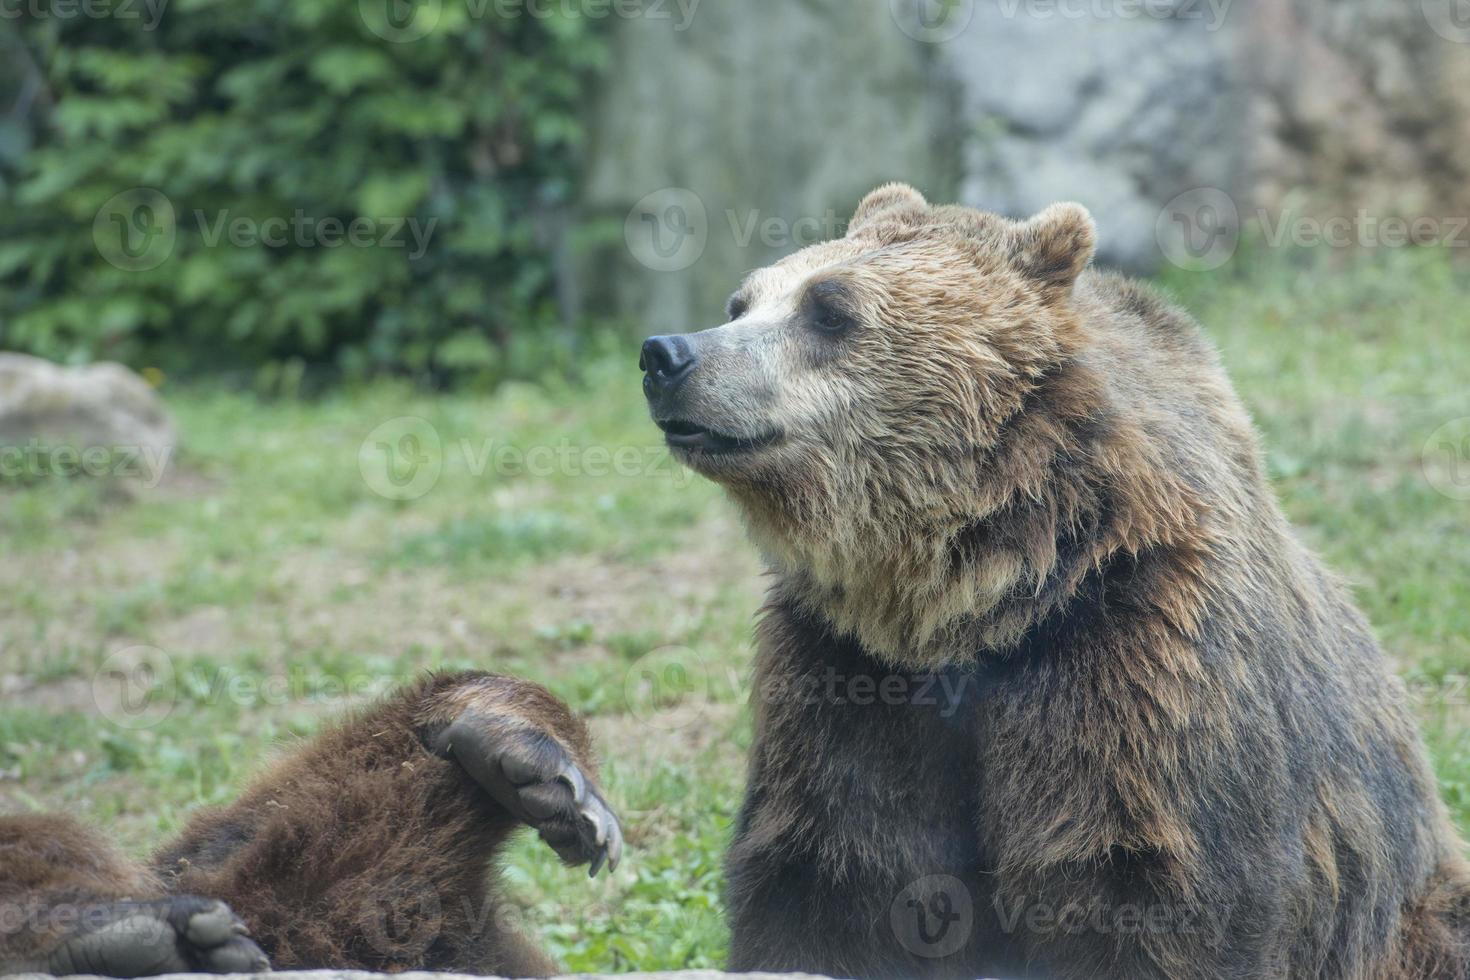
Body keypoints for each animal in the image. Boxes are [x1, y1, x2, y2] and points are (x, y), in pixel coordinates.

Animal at [640, 183, 1470, 980]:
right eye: (742, 302)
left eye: (830, 309)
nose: (666, 353)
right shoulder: (844, 675)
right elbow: (828, 878)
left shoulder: (1136, 657)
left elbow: (1161, 895)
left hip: (1413, 912)